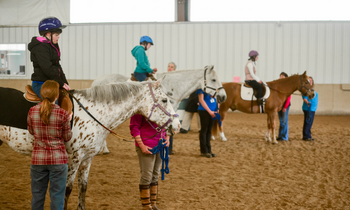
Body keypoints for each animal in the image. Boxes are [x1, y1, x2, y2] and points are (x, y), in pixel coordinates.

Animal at [0, 79, 180, 210]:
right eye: (164, 99)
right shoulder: (74, 158)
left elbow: (83, 187)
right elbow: (67, 190)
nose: (177, 125)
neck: (92, 113)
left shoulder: (87, 158)